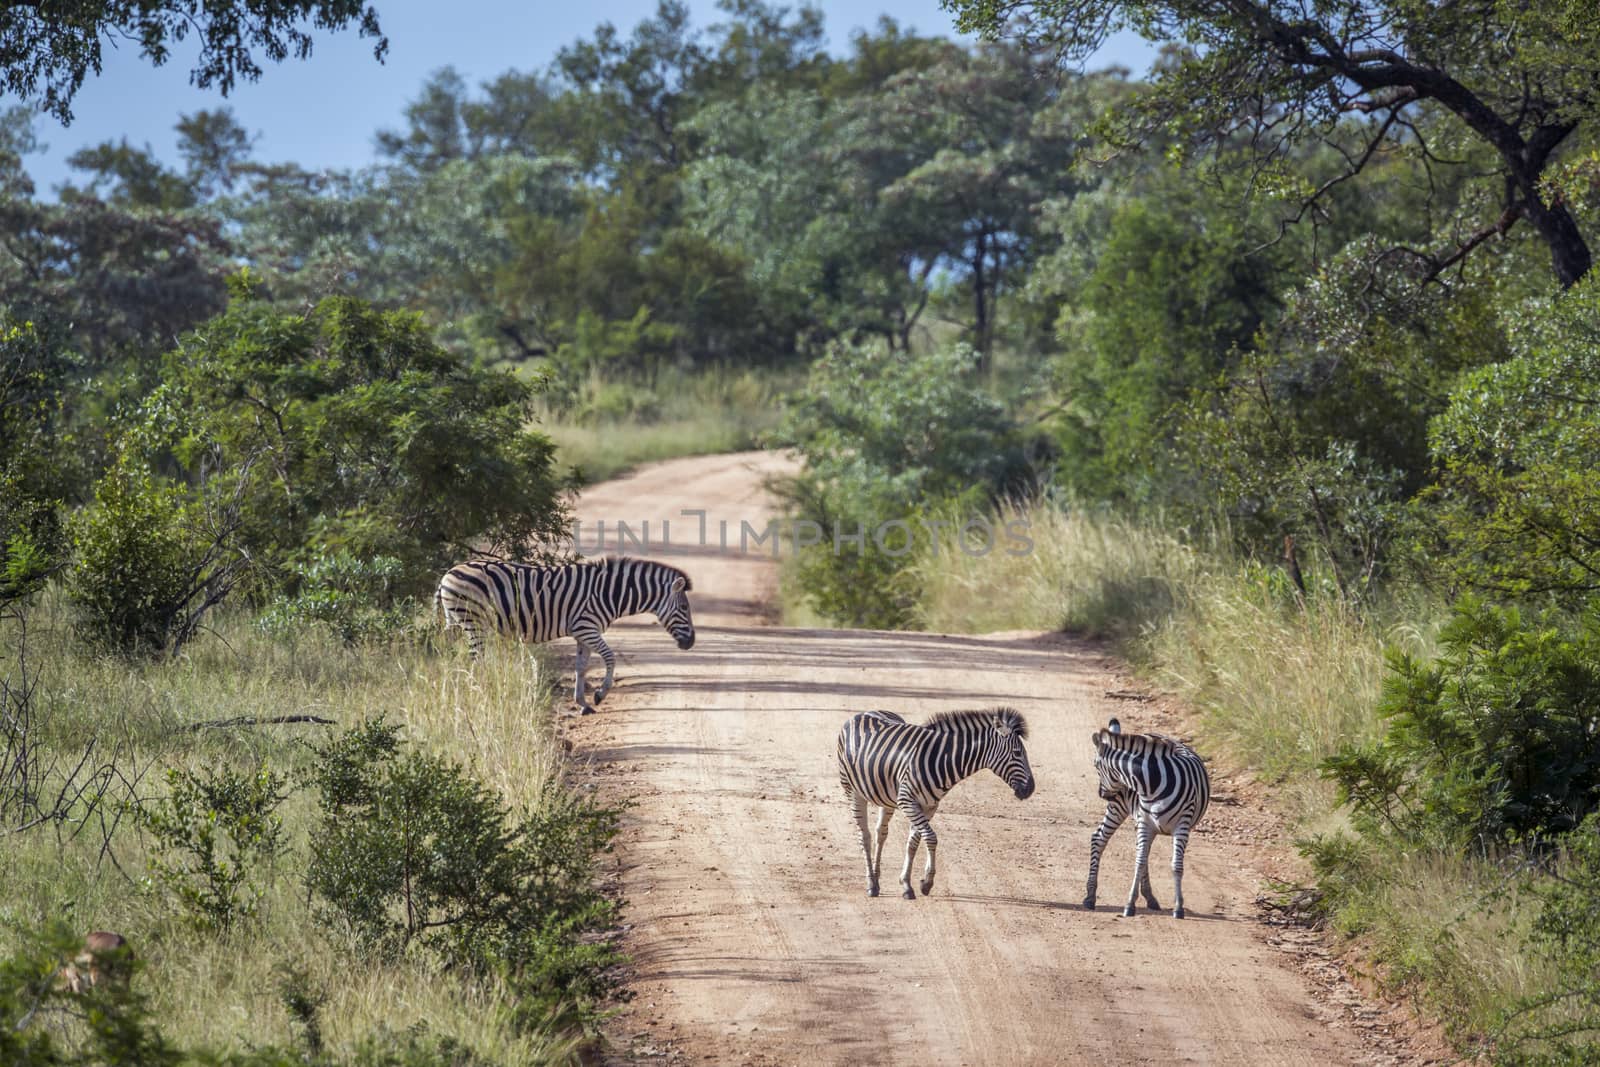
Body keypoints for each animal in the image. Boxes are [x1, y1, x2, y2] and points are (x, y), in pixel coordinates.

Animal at [438, 556, 694, 713]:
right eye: (684, 608)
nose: (691, 643)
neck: (609, 594)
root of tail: (447, 574)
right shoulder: (586, 627)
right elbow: (610, 657)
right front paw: (600, 694)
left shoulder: (584, 633)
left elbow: (581, 667)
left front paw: (582, 704)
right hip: (473, 621)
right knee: (476, 662)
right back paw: (480, 695)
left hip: (458, 623)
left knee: (453, 661)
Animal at [838, 710, 1036, 902]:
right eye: (1017, 753)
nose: (1031, 789)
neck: (941, 760)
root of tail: (861, 714)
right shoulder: (907, 801)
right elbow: (931, 838)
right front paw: (927, 882)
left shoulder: (929, 806)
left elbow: (914, 843)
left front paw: (907, 883)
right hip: (853, 792)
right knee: (864, 836)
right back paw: (871, 884)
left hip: (886, 798)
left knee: (881, 833)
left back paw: (877, 878)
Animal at [1088, 716, 1209, 921]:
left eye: (1096, 765)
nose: (1101, 794)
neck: (1153, 783)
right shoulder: (1145, 822)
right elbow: (1139, 862)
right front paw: (1129, 904)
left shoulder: (1182, 826)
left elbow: (1176, 866)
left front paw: (1178, 908)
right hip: (1122, 808)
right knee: (1099, 839)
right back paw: (1089, 897)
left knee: (1140, 850)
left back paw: (1150, 897)